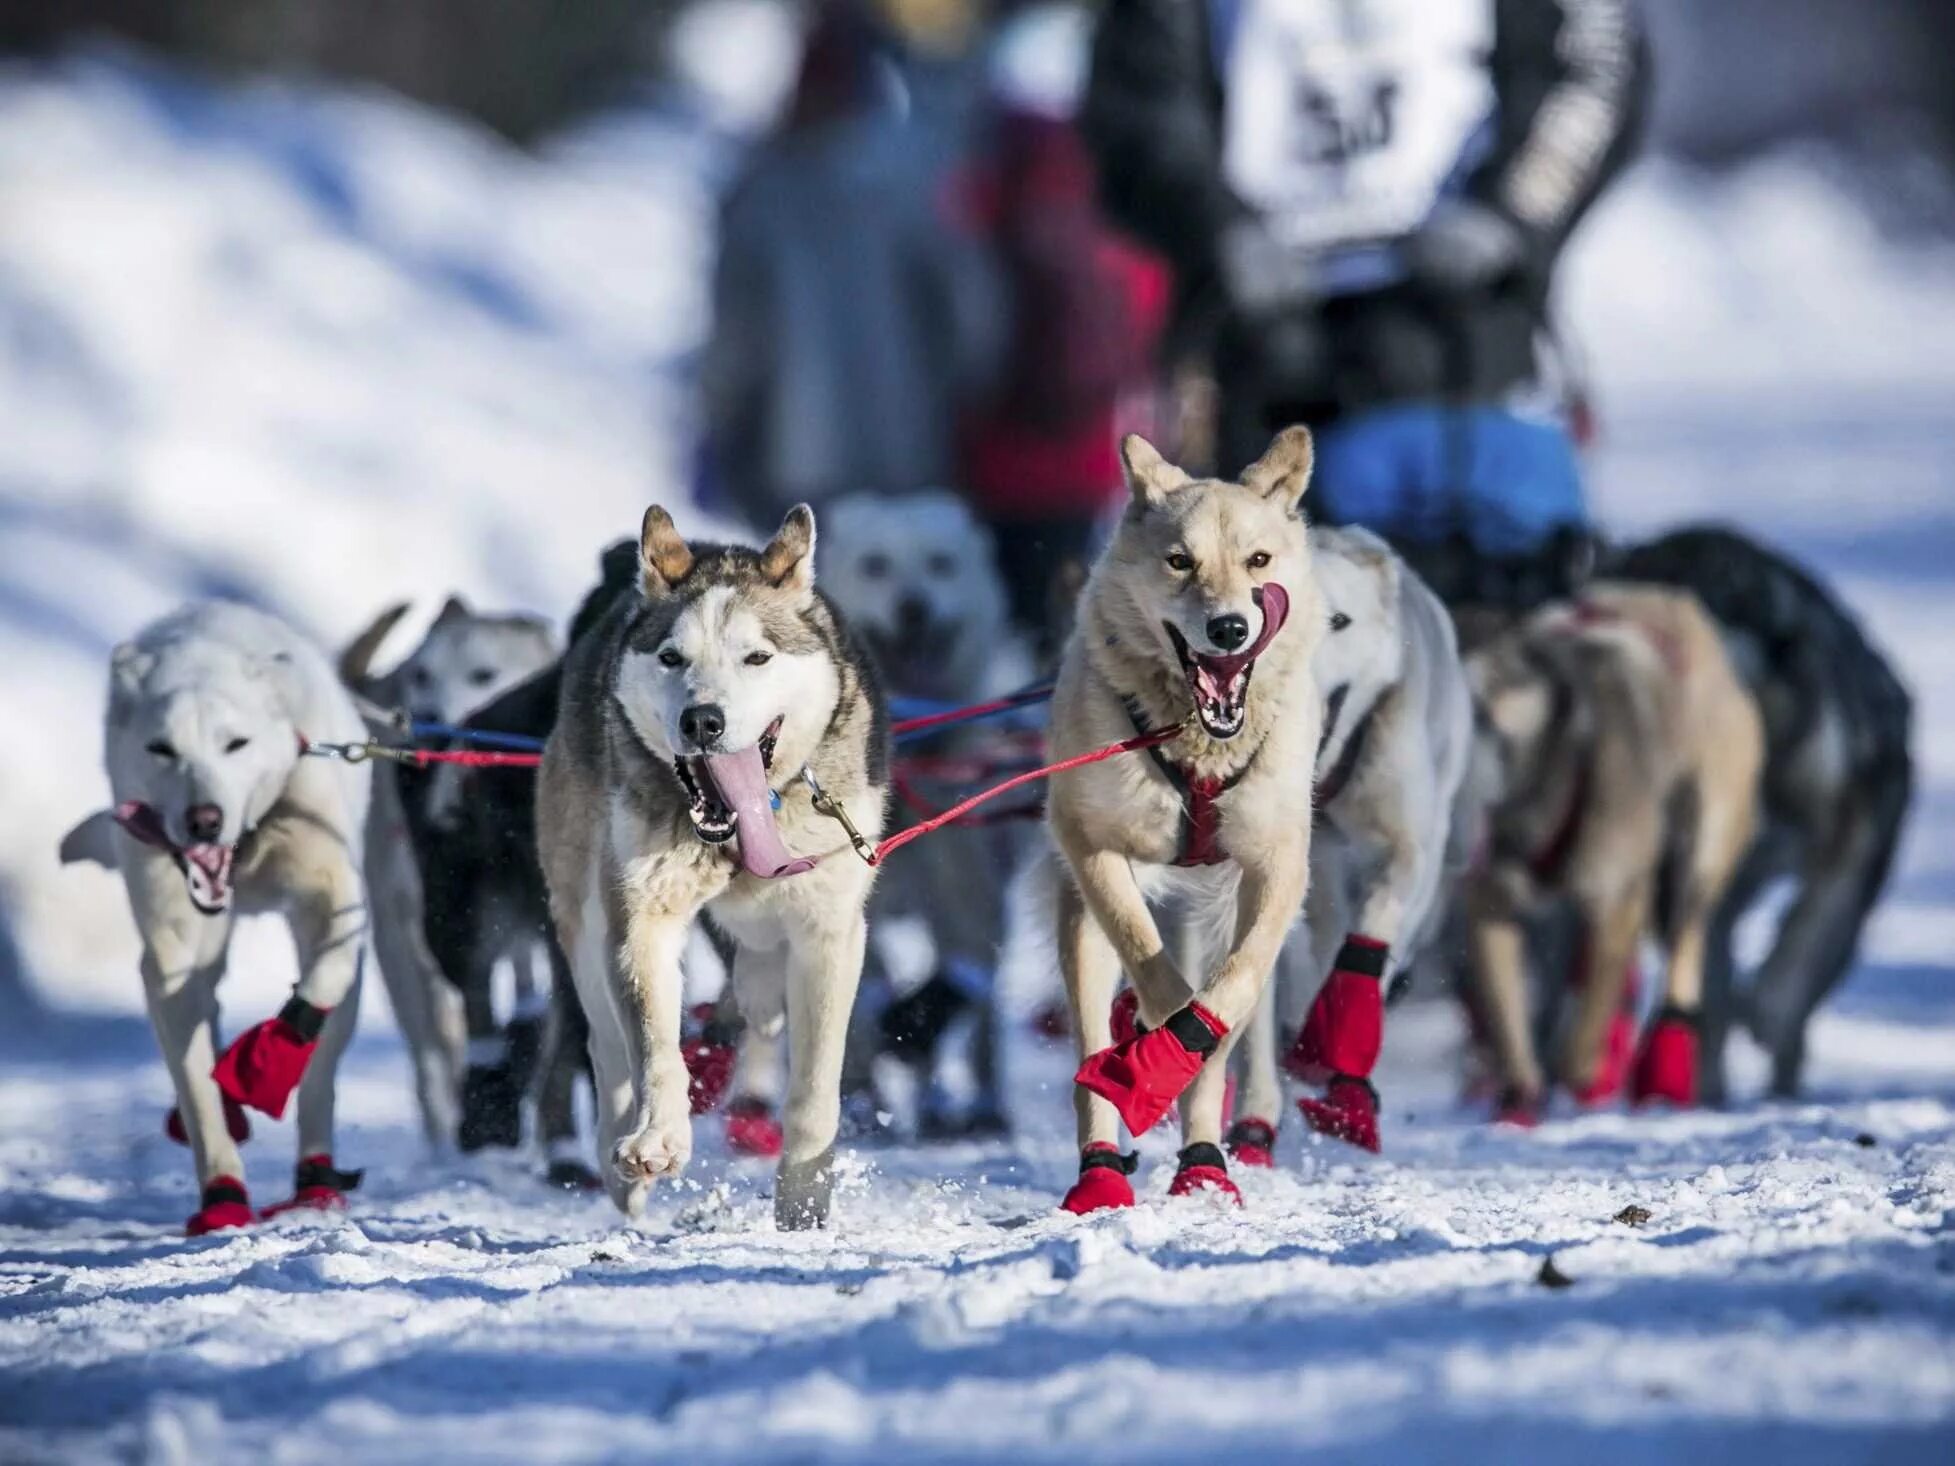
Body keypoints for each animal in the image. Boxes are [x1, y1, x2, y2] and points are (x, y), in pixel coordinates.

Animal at [62, 602, 373, 1235]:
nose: (203, 819)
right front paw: (223, 1193)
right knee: (208, 1003)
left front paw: (266, 1058)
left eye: (237, 744)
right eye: (161, 748)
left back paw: (315, 1180)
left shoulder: (333, 895)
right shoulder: (173, 949)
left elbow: (321, 981)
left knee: (321, 1073)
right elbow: (196, 1083)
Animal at [543, 504, 895, 1227]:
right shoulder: (640, 921)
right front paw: (656, 1137)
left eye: (757, 656)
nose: (702, 719)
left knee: (759, 987)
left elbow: (814, 1088)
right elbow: (655, 1048)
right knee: (607, 1046)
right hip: (580, 911)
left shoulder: (828, 933)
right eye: (671, 657)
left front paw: (802, 1202)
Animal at [821, 490, 1032, 1133]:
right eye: (876, 565)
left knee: (982, 1023)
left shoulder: (962, 893)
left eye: (941, 564)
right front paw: (863, 1092)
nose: (913, 606)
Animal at [1040, 430, 1329, 1211]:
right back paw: (1100, 1169)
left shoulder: (1277, 865)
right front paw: (1152, 1044)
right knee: (1091, 1050)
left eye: (1257, 560)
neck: (1197, 746)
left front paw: (1181, 1055)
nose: (1229, 626)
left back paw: (1203, 1166)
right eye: (1179, 560)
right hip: (1080, 923)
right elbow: (1154, 969)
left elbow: (1232, 990)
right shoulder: (1094, 846)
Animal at [1470, 578, 1767, 1118]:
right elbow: (1508, 1027)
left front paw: (1580, 1078)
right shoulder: (1489, 907)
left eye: (1486, 701)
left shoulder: (1618, 898)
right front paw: (1519, 1097)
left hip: (1699, 848)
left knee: (1681, 950)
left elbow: (1583, 1034)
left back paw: (1660, 1070)